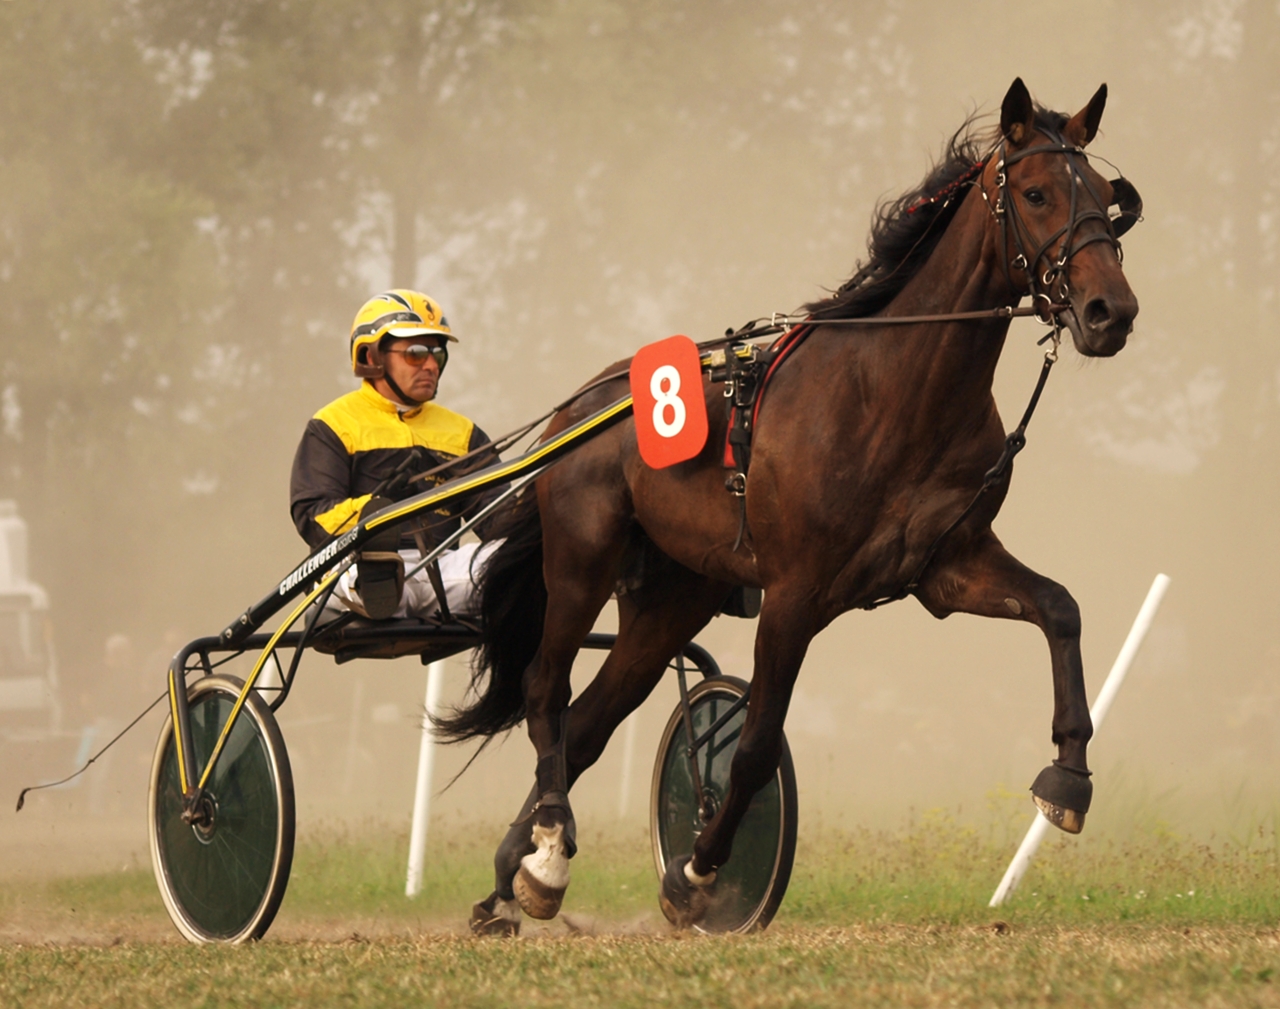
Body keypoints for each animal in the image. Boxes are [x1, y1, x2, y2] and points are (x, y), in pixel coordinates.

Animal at [437, 78, 1141, 932]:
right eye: (1036, 193)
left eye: (1105, 194)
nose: (1111, 311)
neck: (893, 392)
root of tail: (579, 406)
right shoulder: (795, 593)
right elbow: (756, 743)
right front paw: (696, 871)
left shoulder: (948, 564)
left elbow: (1060, 608)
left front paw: (1068, 776)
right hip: (581, 560)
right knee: (547, 689)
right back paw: (547, 848)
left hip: (675, 592)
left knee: (591, 720)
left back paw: (519, 872)